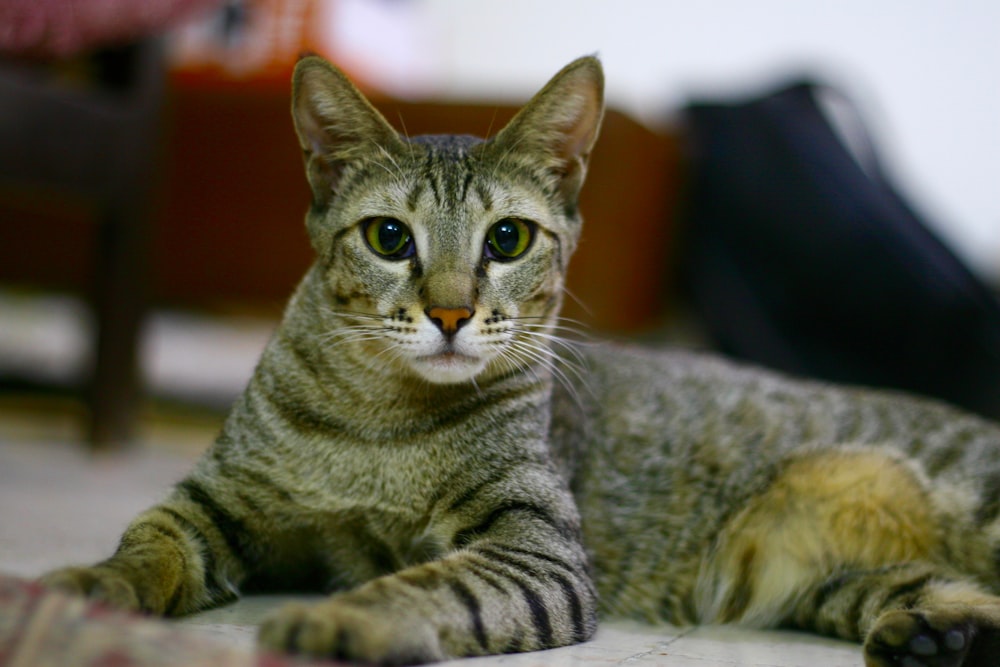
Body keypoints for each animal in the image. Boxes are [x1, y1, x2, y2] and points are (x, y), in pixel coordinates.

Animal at [41, 56, 1000, 667]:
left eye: (507, 239)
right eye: (389, 237)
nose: (451, 311)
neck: (378, 424)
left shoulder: (536, 550)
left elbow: (427, 584)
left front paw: (348, 618)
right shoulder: (214, 503)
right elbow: (145, 547)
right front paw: (83, 586)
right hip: (832, 579)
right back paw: (940, 632)